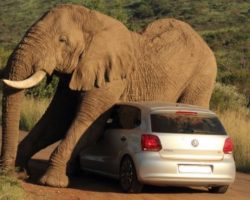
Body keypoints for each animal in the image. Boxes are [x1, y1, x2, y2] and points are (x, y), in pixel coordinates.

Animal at [0, 3, 217, 188]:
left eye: (62, 40)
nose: (7, 174)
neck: (94, 21)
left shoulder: (111, 79)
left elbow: (88, 123)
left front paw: (51, 182)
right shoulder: (78, 71)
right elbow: (57, 120)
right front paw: (19, 172)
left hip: (202, 77)